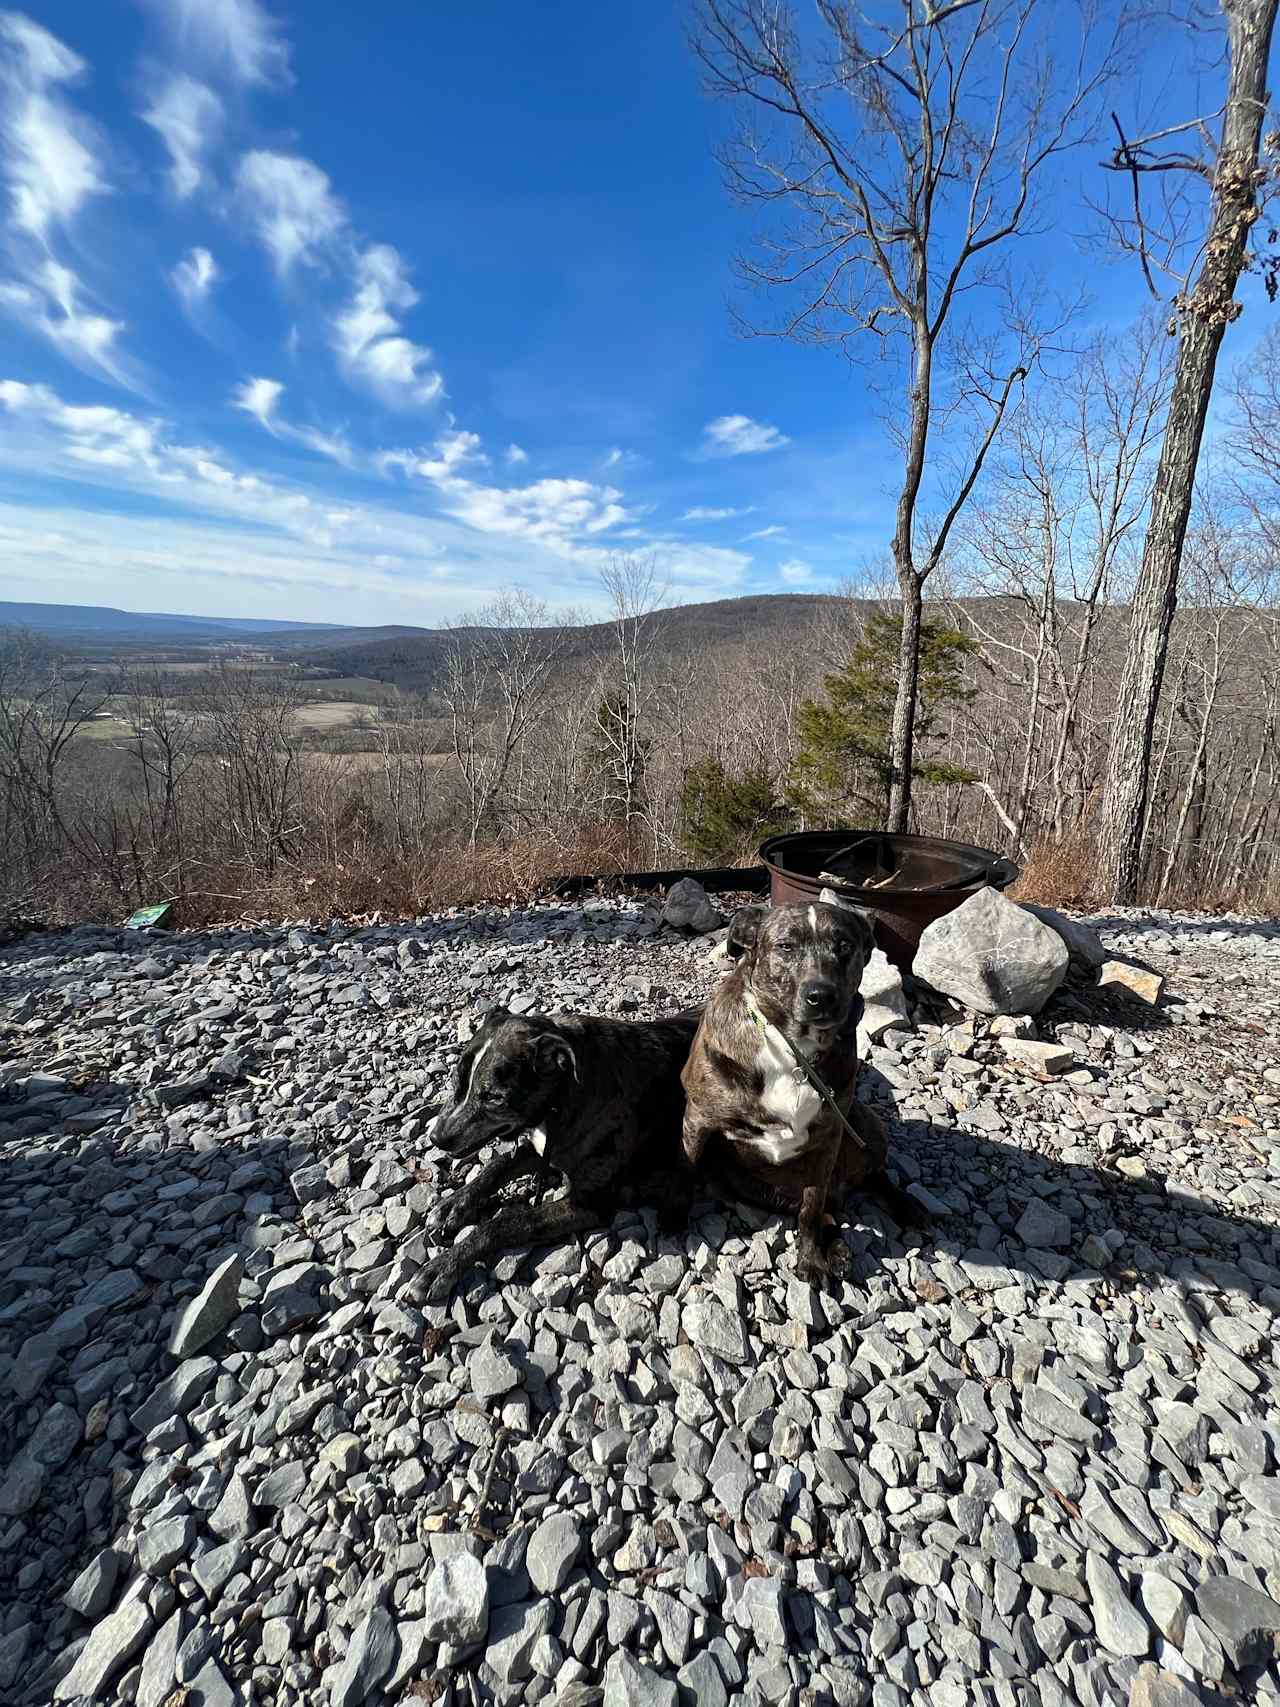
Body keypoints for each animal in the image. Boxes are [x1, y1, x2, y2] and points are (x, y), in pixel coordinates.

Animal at [416, 1003, 703, 1297]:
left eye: (494, 1098)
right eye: (456, 1080)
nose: (437, 1138)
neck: (563, 1096)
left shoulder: (589, 1203)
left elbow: (508, 1223)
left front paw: (444, 1266)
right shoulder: (543, 1147)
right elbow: (496, 1167)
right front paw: (453, 1204)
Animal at [682, 901, 921, 1283]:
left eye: (844, 945)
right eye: (785, 946)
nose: (821, 996)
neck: (792, 1047)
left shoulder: (828, 1139)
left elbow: (811, 1208)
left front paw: (810, 1259)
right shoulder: (698, 1119)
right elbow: (687, 1170)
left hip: (866, 1124)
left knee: (867, 1179)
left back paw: (900, 1209)